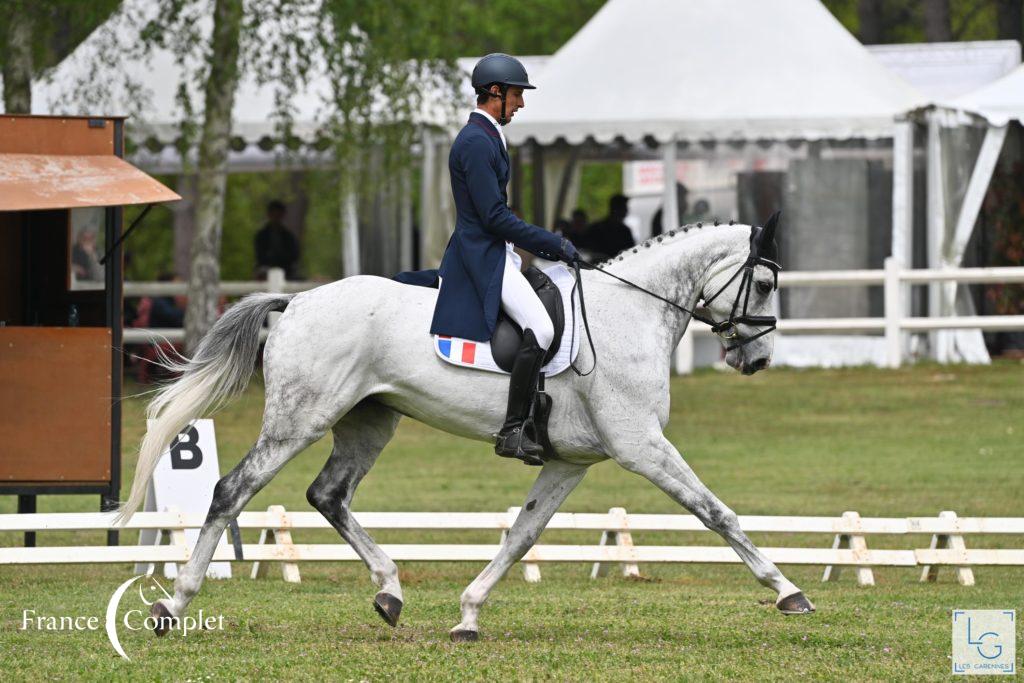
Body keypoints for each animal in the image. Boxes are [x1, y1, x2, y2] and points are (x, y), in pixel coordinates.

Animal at [112, 218, 815, 643]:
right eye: (766, 281)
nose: (757, 359)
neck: (629, 312)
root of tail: (298, 302)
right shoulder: (641, 445)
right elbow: (716, 513)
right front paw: (788, 591)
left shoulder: (571, 461)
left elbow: (522, 536)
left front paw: (469, 615)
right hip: (299, 418)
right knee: (232, 490)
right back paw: (174, 605)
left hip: (368, 421)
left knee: (329, 495)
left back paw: (390, 592)